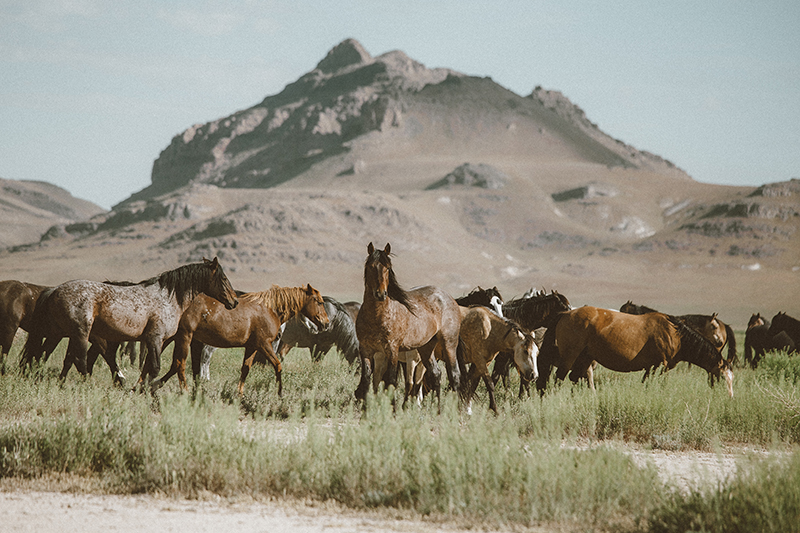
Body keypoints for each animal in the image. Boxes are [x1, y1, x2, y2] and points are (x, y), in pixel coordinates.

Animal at [20, 256, 236, 384]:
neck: (168, 297)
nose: (234, 301)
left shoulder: (157, 341)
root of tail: (54, 290)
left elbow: (148, 367)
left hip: (61, 333)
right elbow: (154, 368)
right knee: (80, 360)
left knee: (51, 356)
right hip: (80, 333)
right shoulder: (155, 339)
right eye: (224, 279)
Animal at [152, 282, 330, 394]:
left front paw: (240, 394)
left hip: (175, 338)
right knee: (179, 365)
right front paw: (279, 393)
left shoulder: (251, 347)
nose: (326, 323)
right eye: (319, 302)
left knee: (171, 364)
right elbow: (278, 366)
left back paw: (150, 386)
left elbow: (245, 369)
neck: (269, 309)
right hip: (185, 337)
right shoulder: (264, 344)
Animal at [356, 243, 462, 406]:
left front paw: (393, 409)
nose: (381, 294)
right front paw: (365, 409)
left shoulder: (392, 350)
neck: (377, 316)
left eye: (388, 268)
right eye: (370, 266)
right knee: (436, 374)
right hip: (426, 348)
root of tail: (448, 297)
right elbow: (367, 379)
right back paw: (437, 409)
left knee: (454, 375)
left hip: (449, 344)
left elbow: (391, 382)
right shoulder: (366, 350)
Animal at [536, 306, 736, 396]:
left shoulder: (651, 367)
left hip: (585, 358)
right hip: (570, 356)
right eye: (722, 377)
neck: (675, 333)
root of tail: (565, 314)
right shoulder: (659, 366)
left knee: (574, 378)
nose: (729, 397)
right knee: (559, 378)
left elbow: (646, 383)